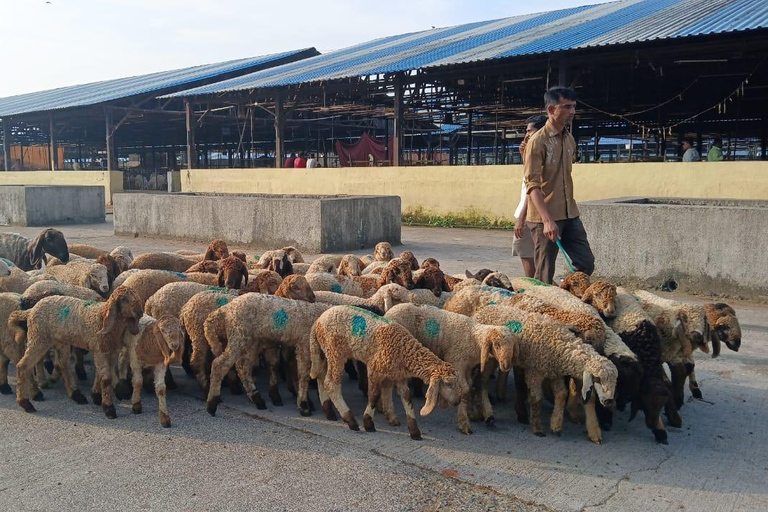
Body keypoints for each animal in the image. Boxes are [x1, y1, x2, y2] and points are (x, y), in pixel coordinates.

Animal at [9, 286, 144, 418]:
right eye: (124, 299)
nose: (140, 312)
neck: (101, 317)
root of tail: (31, 309)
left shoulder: (110, 351)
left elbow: (100, 374)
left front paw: (96, 395)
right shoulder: (99, 349)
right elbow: (106, 379)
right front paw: (108, 408)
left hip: (60, 341)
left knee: (63, 365)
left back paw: (76, 394)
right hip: (38, 337)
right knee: (23, 366)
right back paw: (26, 402)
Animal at [308, 304, 464, 440]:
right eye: (448, 384)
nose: (457, 402)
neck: (403, 351)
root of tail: (318, 321)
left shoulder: (399, 375)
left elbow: (407, 398)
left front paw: (414, 431)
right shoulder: (374, 369)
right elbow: (374, 395)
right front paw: (368, 424)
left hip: (325, 352)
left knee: (321, 377)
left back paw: (329, 411)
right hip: (335, 350)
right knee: (331, 384)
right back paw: (350, 420)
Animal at [474, 304, 616, 444]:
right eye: (597, 379)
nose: (608, 401)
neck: (560, 344)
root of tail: (482, 311)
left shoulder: (555, 373)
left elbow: (562, 394)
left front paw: (556, 425)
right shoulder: (534, 371)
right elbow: (536, 398)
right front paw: (537, 429)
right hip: (489, 358)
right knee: (482, 382)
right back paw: (488, 414)